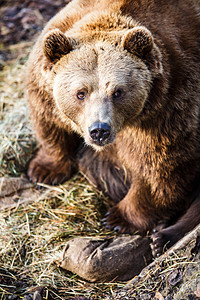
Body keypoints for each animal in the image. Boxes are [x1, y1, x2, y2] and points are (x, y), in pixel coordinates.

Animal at [26, 0, 200, 258]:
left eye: (118, 92)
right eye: (80, 93)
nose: (99, 130)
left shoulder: (170, 109)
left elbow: (160, 169)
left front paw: (118, 218)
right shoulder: (43, 83)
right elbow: (49, 122)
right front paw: (43, 170)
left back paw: (162, 237)